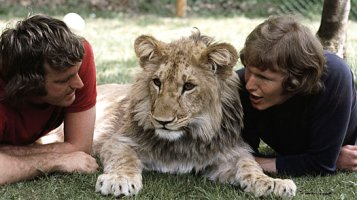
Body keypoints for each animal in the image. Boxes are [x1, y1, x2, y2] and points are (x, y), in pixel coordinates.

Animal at [92, 30, 294, 198]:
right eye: (157, 82)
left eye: (188, 86)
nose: (161, 121)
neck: (186, 141)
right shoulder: (118, 140)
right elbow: (124, 159)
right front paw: (118, 180)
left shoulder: (227, 154)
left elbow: (249, 164)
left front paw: (273, 183)